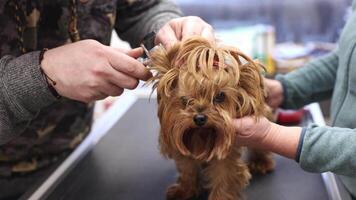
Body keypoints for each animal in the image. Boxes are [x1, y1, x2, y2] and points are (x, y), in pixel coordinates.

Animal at [149, 36, 274, 200]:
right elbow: (187, 170)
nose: (199, 118)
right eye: (185, 100)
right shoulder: (183, 146)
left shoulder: (226, 156)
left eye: (220, 96)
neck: (201, 134)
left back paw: (261, 162)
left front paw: (220, 196)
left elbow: (223, 178)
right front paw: (184, 190)